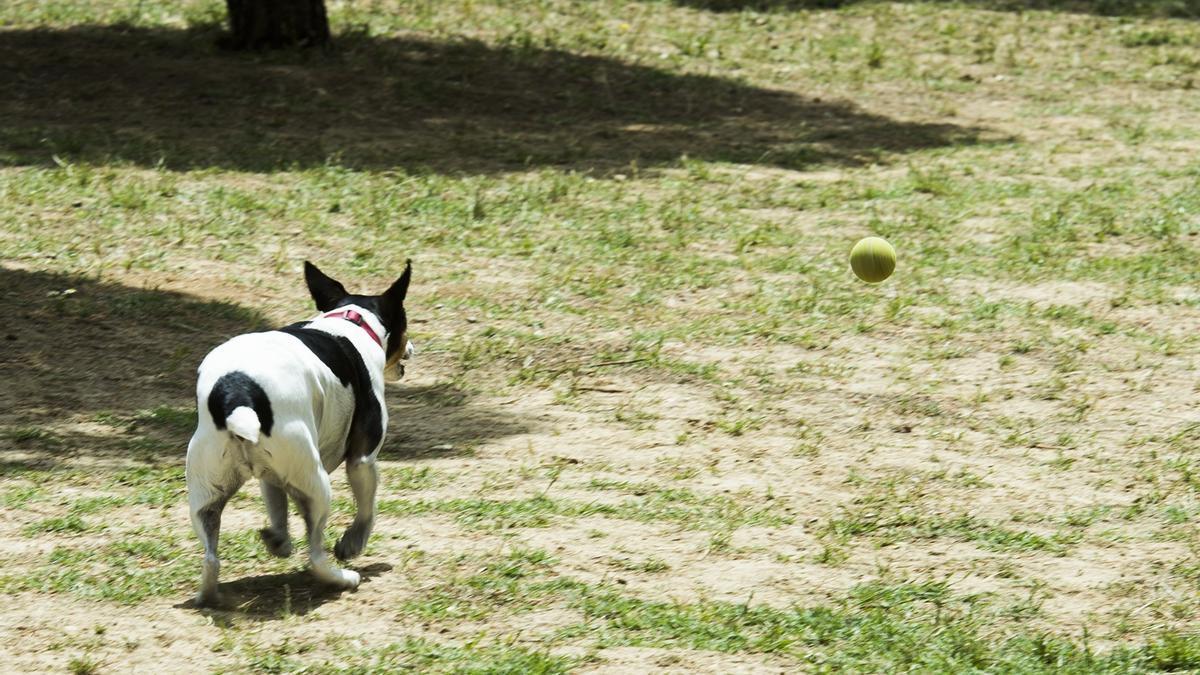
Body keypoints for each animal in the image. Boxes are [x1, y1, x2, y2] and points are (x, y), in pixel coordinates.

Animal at [186, 257, 412, 605]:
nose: (412, 348)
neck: (350, 321)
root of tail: (237, 393)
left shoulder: (270, 475)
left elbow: (277, 509)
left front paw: (278, 539)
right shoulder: (362, 460)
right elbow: (367, 509)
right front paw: (352, 543)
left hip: (206, 493)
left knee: (211, 556)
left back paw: (210, 594)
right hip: (316, 484)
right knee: (315, 553)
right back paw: (342, 578)